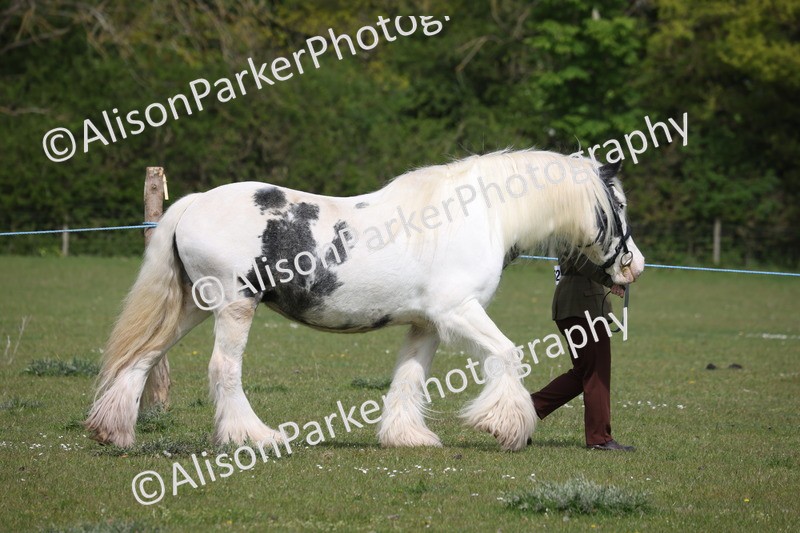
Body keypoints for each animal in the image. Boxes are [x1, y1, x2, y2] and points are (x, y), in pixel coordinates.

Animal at [85, 149, 645, 452]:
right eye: (617, 205)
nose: (633, 264)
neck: (478, 215)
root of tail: (194, 203)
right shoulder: (459, 312)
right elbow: (506, 355)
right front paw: (504, 426)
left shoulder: (426, 324)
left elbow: (409, 379)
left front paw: (407, 436)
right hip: (232, 306)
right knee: (224, 369)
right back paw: (254, 436)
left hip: (191, 306)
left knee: (142, 357)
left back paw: (115, 432)